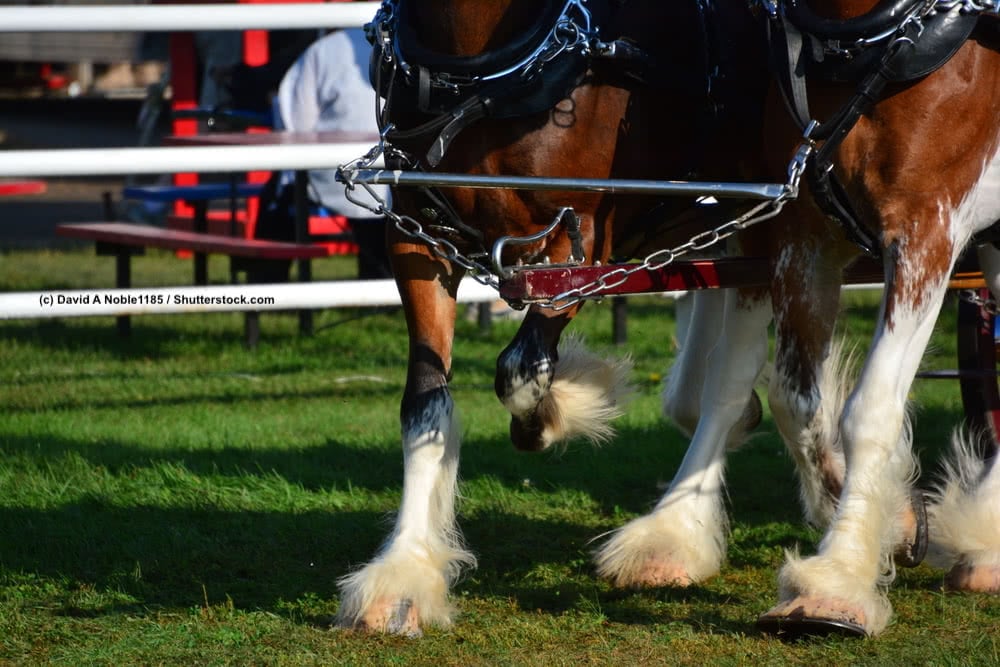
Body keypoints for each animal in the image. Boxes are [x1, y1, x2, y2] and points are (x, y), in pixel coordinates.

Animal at [333, 0, 779, 635]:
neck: (482, 73)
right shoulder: (417, 237)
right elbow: (425, 404)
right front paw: (404, 574)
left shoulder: (579, 236)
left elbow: (520, 369)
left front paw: (559, 409)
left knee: (739, 364)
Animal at [747, 0, 1000, 637]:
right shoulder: (806, 235)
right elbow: (794, 403)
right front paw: (896, 522)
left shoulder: (927, 229)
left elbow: (870, 410)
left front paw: (835, 583)